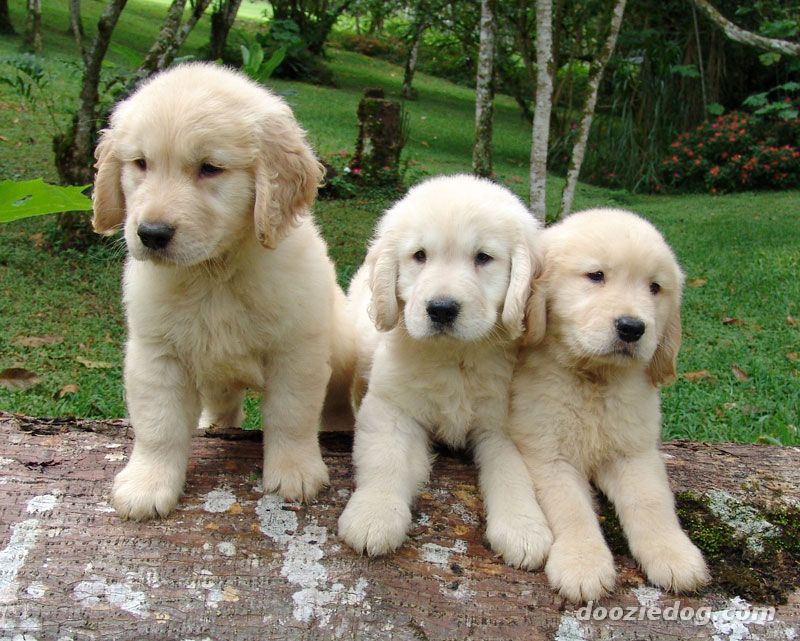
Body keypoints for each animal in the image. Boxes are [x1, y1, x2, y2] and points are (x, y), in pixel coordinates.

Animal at [90, 61, 354, 520]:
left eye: (210, 168)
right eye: (140, 163)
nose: (151, 234)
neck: (214, 274)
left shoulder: (296, 351)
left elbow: (291, 414)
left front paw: (295, 471)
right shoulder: (156, 354)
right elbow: (158, 426)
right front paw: (148, 484)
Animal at [334, 175, 552, 564]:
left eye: (483, 257)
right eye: (420, 256)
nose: (441, 309)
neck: (455, 356)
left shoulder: (504, 425)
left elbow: (514, 473)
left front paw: (523, 529)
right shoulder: (391, 407)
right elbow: (385, 458)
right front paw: (373, 515)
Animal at [510, 209, 708, 600]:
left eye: (655, 287)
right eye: (596, 276)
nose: (632, 328)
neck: (594, 380)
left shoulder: (634, 451)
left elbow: (651, 501)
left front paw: (673, 554)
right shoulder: (548, 455)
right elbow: (571, 507)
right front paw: (582, 562)